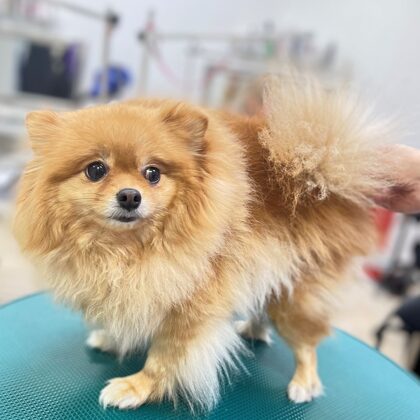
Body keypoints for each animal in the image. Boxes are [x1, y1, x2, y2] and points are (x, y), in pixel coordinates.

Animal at [13, 77, 390, 411]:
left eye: (152, 173)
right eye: (95, 170)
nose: (130, 196)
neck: (126, 250)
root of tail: (324, 175)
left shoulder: (191, 310)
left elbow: (165, 356)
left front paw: (137, 387)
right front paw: (111, 338)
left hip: (297, 295)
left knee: (307, 344)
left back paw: (304, 382)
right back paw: (253, 328)